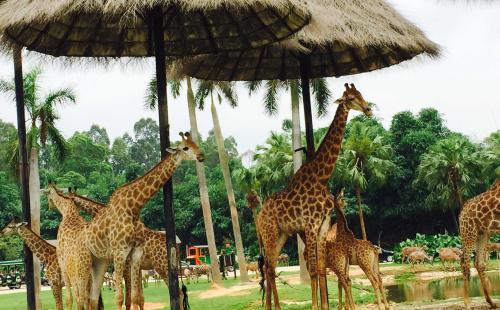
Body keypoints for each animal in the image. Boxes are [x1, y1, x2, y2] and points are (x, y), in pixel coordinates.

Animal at [84, 131, 203, 310]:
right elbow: (122, 297)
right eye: (185, 147)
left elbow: (135, 297)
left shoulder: (134, 255)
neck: (133, 206)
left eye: (196, 144)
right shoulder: (120, 253)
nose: (201, 156)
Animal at [258, 83, 372, 310]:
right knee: (269, 268)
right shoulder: (310, 225)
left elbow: (320, 268)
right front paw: (314, 306)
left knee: (270, 268)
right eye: (351, 98)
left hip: (281, 234)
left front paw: (324, 306)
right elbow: (311, 270)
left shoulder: (323, 226)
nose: (368, 109)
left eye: (361, 94)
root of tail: (258, 217)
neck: (321, 178)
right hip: (269, 233)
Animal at [458, 178, 498, 308]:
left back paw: (491, 302)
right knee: (464, 261)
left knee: (479, 262)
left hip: (482, 232)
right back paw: (467, 304)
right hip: (469, 232)